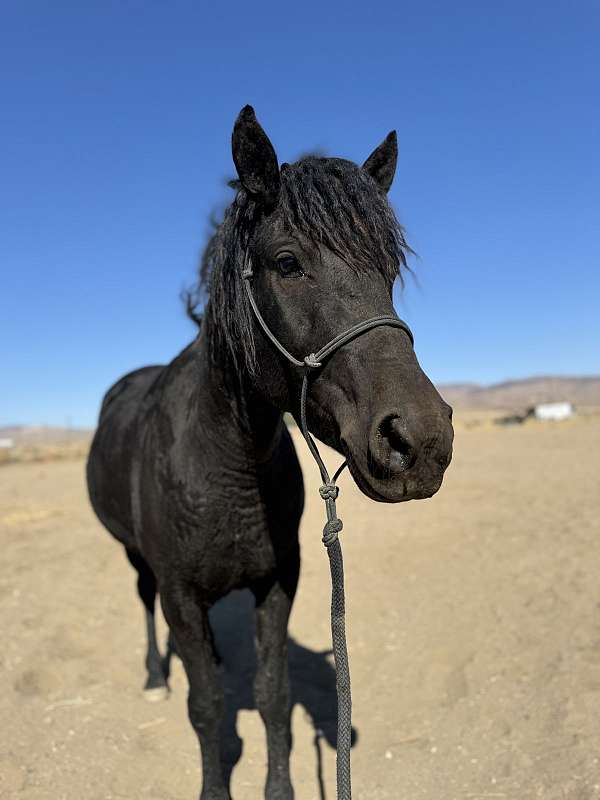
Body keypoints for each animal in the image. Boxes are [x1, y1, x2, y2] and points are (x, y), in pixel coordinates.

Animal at [86, 108, 452, 800]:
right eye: (287, 262)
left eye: (388, 272)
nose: (420, 441)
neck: (225, 462)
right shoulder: (180, 593)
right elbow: (206, 708)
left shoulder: (277, 583)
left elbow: (272, 694)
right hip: (137, 559)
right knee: (145, 603)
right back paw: (154, 675)